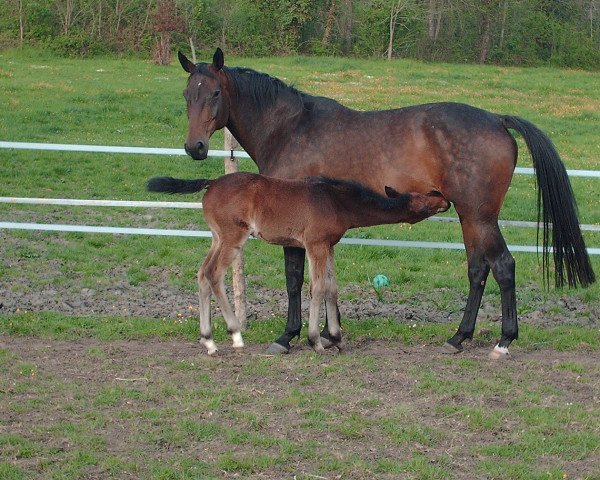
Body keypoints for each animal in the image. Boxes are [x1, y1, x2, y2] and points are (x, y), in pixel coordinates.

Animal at [148, 172, 448, 352]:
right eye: (423, 202)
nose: (444, 198)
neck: (336, 200)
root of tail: (211, 183)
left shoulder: (328, 246)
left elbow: (332, 288)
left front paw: (336, 338)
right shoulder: (315, 245)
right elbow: (317, 288)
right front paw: (316, 340)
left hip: (217, 238)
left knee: (201, 274)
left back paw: (208, 340)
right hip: (233, 237)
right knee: (213, 274)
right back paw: (234, 335)